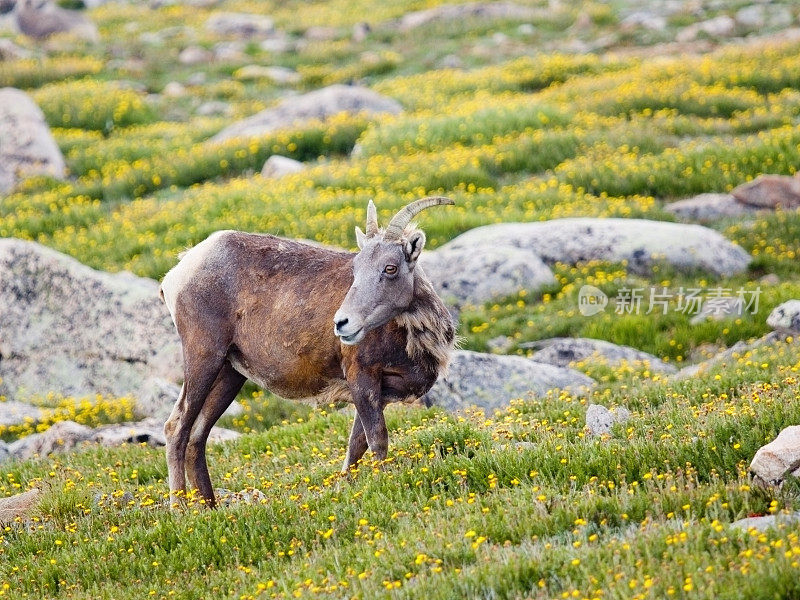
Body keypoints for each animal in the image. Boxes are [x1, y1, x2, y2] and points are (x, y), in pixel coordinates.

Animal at [161, 197, 456, 506]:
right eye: (355, 269)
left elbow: (356, 445)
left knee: (198, 436)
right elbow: (377, 441)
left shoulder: (379, 393)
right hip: (204, 358)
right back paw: (179, 507)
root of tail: (178, 273)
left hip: (229, 374)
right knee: (176, 428)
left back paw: (211, 508)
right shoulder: (362, 378)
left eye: (390, 268)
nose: (342, 323)